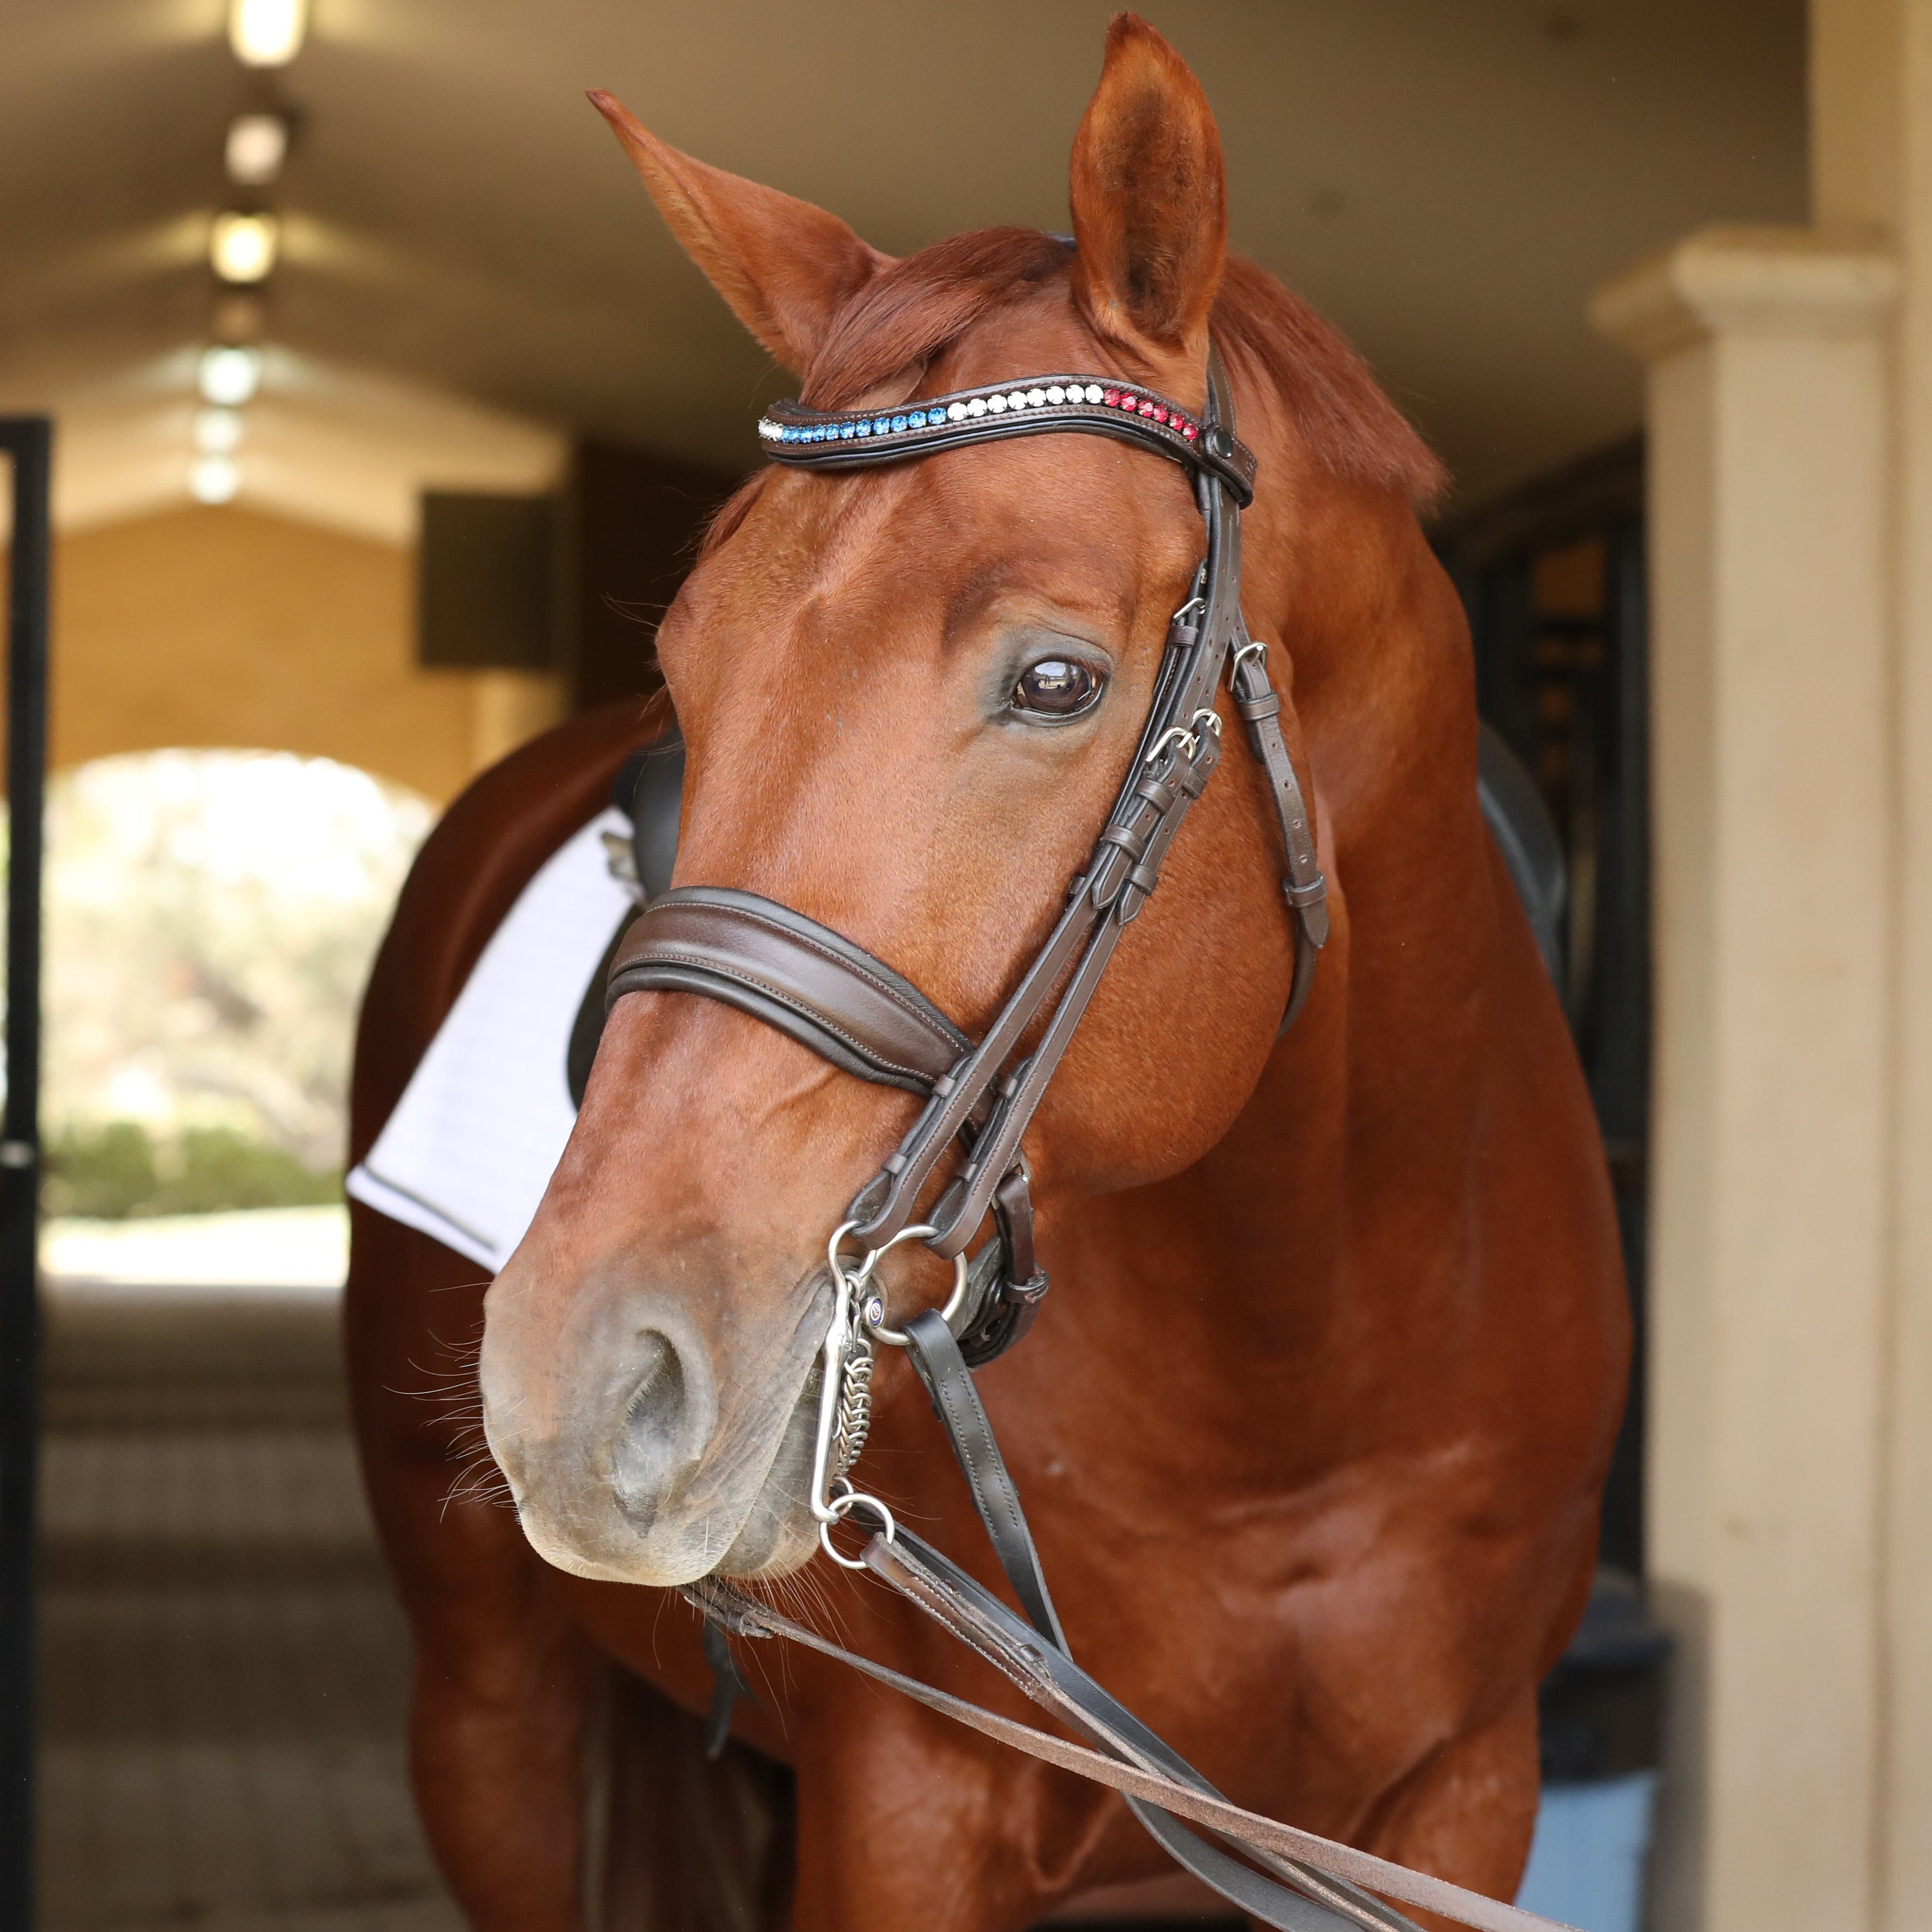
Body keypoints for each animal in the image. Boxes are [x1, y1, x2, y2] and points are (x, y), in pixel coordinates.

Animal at [347, 18, 1630, 1932]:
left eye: (1051, 680)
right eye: (686, 667)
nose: (580, 1378)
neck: (1303, 1357)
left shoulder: (1459, 1804)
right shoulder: (909, 1813)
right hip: (486, 1708)